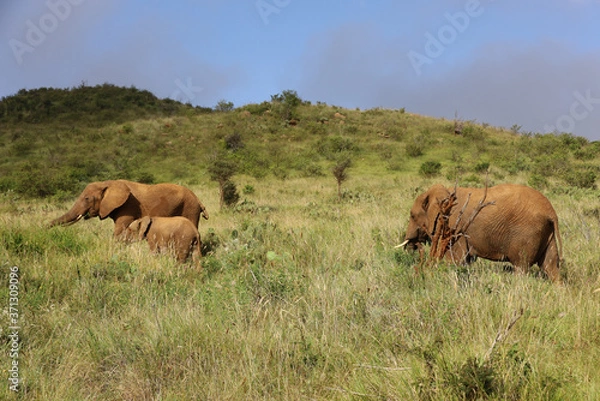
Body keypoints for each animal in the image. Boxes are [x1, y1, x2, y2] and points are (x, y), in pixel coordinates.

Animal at [49, 180, 210, 236]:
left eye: (87, 198)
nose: (46, 227)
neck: (107, 183)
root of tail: (198, 199)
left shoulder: (127, 206)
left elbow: (119, 230)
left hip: (190, 207)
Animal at [404, 184, 564, 282]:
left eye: (412, 215)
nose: (412, 244)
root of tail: (551, 212)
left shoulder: (455, 229)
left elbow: (455, 261)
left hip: (527, 233)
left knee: (521, 267)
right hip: (546, 233)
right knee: (550, 267)